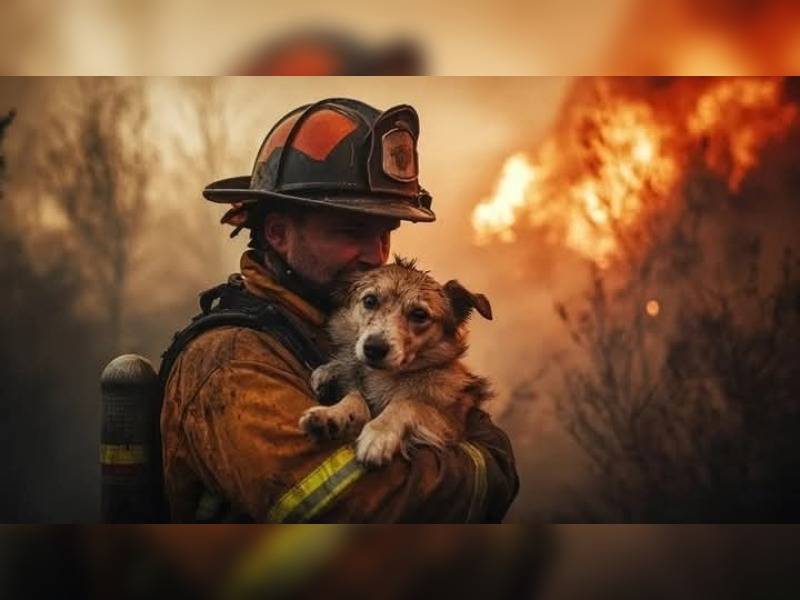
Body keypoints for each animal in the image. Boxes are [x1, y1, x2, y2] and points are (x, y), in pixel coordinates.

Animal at [296, 255, 490, 466]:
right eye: (370, 300)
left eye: (420, 314)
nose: (373, 349)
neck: (384, 376)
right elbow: (355, 395)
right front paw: (332, 414)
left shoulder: (452, 426)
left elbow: (407, 403)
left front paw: (379, 432)